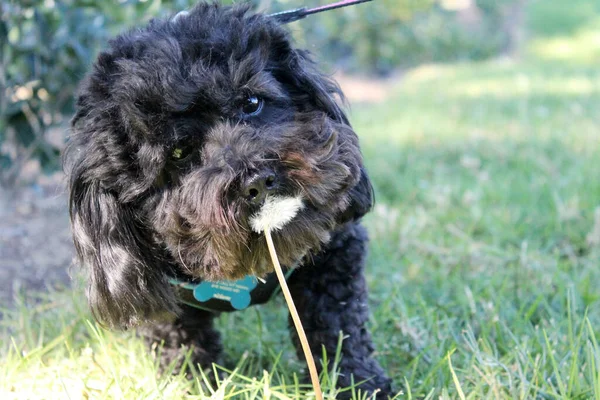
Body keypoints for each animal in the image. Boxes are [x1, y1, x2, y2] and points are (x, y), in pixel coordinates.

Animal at [65, 2, 392, 396]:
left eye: (251, 102)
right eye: (178, 152)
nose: (258, 181)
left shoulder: (335, 252)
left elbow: (337, 326)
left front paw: (360, 383)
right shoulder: (162, 296)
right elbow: (181, 344)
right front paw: (194, 387)